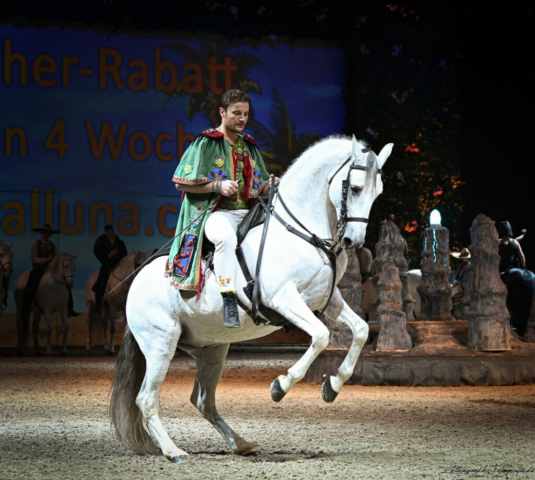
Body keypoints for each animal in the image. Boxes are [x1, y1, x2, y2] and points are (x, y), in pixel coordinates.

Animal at [109, 134, 394, 462]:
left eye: (378, 192)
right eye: (356, 188)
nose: (354, 241)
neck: (302, 231)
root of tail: (136, 283)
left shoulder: (327, 299)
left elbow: (360, 330)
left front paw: (332, 386)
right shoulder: (283, 298)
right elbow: (321, 336)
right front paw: (280, 386)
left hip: (211, 350)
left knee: (203, 400)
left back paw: (241, 444)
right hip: (160, 345)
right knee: (147, 398)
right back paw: (174, 451)